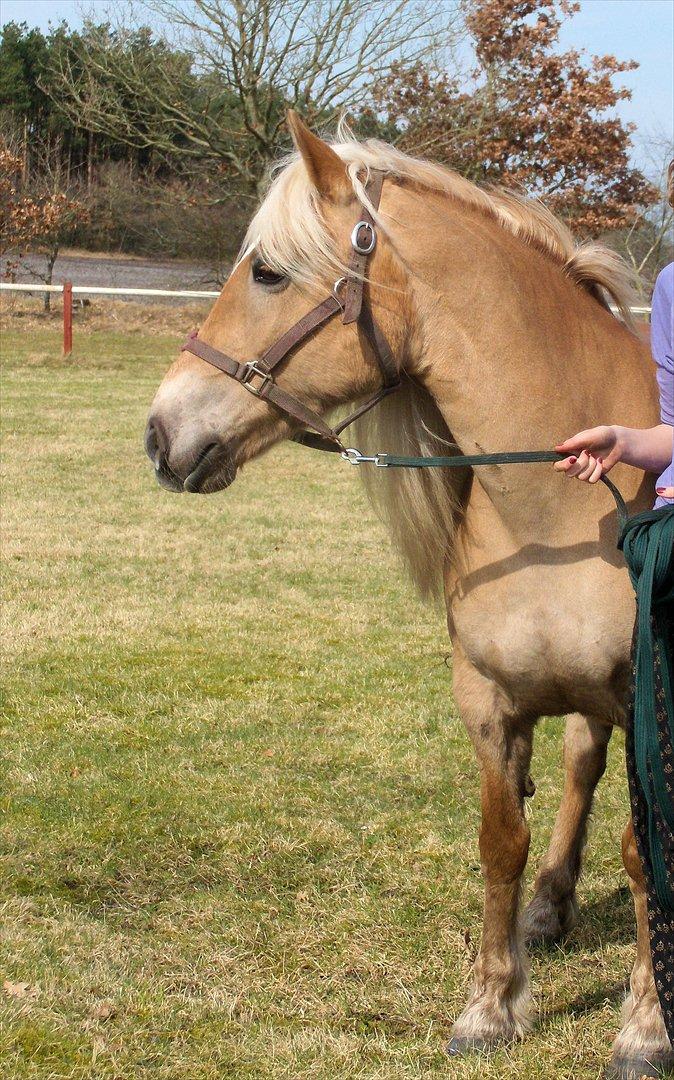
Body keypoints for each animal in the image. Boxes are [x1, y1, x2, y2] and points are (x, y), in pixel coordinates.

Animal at [144, 113, 669, 1075]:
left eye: (266, 272)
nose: (161, 434)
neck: (563, 502)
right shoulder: (488, 699)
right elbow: (502, 844)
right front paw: (490, 1008)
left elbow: (645, 854)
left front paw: (646, 1026)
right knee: (579, 765)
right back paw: (551, 907)